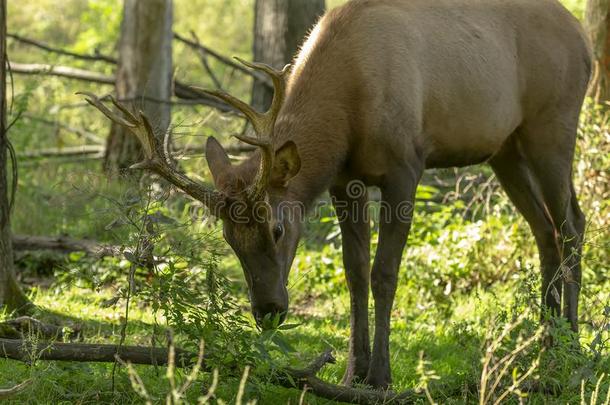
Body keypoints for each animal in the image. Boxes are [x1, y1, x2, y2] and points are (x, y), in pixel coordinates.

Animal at [81, 0, 588, 388]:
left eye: (277, 227)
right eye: (227, 238)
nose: (268, 311)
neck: (347, 110)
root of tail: (583, 37)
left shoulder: (406, 166)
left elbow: (384, 273)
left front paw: (380, 376)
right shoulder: (346, 179)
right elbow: (354, 271)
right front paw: (351, 373)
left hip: (553, 125)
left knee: (572, 224)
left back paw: (574, 348)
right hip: (506, 147)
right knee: (545, 230)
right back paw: (548, 344)